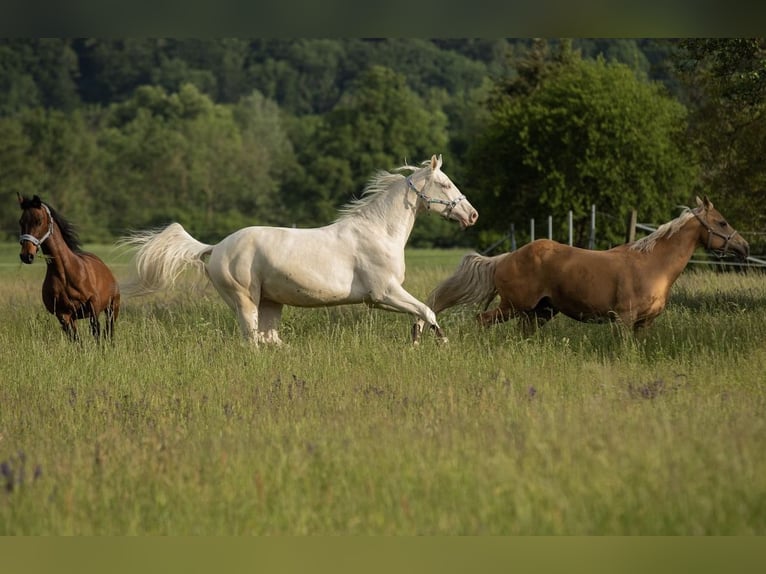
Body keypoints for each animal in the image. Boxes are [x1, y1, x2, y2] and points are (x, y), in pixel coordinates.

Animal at [18, 194, 121, 341]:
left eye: (38, 221)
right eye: (21, 222)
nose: (26, 255)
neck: (65, 273)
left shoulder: (93, 305)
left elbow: (96, 330)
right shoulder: (64, 315)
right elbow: (76, 339)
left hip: (112, 307)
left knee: (109, 330)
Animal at [120, 154, 478, 345]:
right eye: (445, 184)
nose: (472, 215)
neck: (379, 232)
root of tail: (216, 247)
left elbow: (421, 313)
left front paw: (417, 340)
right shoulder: (383, 294)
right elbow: (427, 311)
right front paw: (441, 343)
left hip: (270, 302)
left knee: (269, 339)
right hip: (245, 300)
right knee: (252, 339)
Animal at [414, 196, 749, 339]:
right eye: (722, 222)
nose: (744, 248)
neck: (652, 265)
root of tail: (506, 257)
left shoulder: (645, 323)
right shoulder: (624, 319)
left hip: (539, 312)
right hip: (513, 306)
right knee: (482, 320)